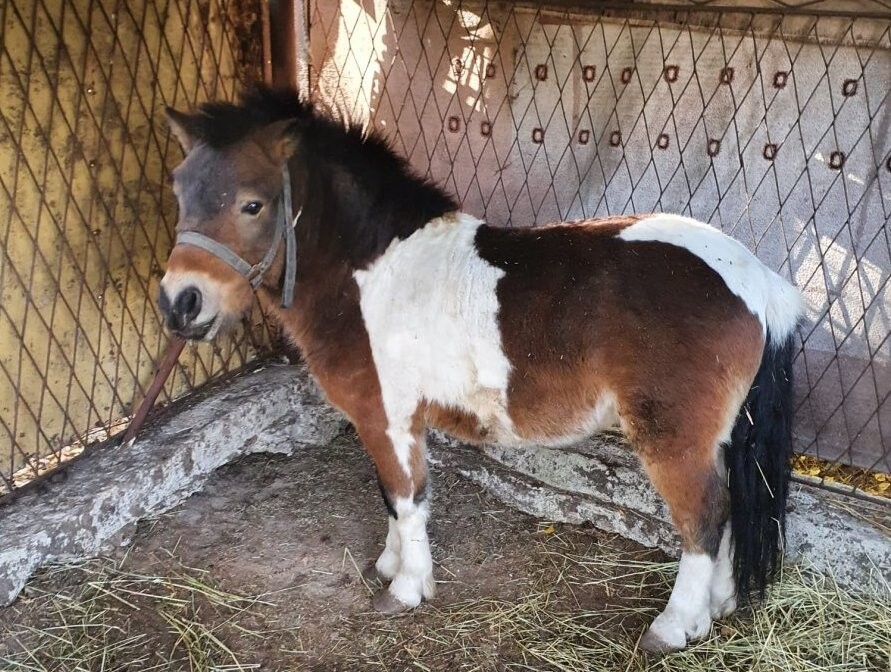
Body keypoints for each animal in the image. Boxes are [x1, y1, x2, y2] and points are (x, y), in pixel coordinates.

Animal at [158, 86, 803, 653]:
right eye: (179, 192)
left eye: (252, 203)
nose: (180, 304)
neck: (374, 273)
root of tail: (757, 281)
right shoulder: (394, 421)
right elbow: (393, 498)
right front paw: (391, 563)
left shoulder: (385, 416)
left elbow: (406, 496)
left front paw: (406, 588)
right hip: (719, 438)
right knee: (730, 512)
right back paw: (715, 608)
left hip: (673, 440)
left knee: (705, 519)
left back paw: (675, 625)